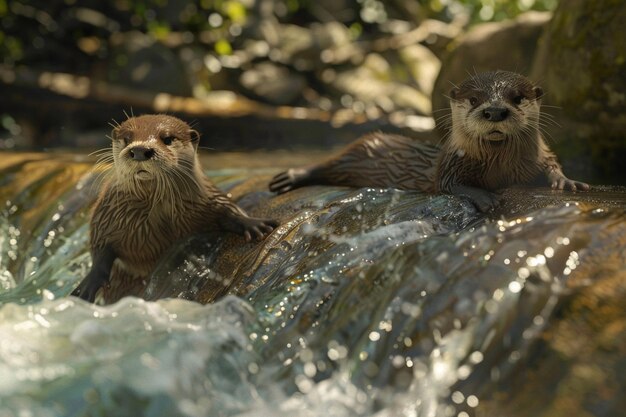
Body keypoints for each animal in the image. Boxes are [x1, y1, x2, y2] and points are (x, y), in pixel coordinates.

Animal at [71, 114, 278, 302]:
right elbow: (101, 247)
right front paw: (88, 284)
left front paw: (253, 223)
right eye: (127, 139)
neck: (158, 210)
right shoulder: (107, 213)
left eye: (167, 138)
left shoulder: (206, 196)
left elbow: (227, 207)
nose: (139, 150)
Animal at [266, 70, 584, 211]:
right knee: (328, 164)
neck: (499, 165)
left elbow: (551, 163)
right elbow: (448, 183)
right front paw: (486, 196)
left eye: (517, 98)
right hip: (358, 151)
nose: (495, 111)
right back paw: (290, 176)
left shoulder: (539, 155)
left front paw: (566, 181)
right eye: (474, 99)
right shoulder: (450, 164)